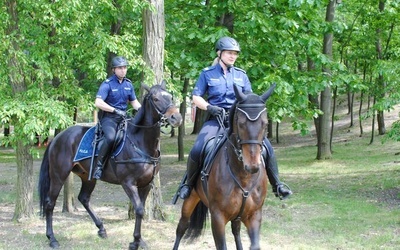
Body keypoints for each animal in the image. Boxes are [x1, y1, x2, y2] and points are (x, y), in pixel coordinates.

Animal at [38, 81, 182, 249]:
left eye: (171, 97)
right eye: (156, 99)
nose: (176, 118)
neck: (139, 142)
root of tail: (57, 137)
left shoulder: (146, 184)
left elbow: (140, 211)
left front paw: (139, 241)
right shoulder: (128, 183)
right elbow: (139, 210)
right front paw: (135, 242)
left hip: (87, 177)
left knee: (84, 198)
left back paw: (101, 228)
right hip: (58, 176)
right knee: (50, 203)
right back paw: (52, 238)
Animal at [172, 84, 276, 250]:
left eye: (265, 124)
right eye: (240, 123)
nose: (252, 166)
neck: (243, 177)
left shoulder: (254, 215)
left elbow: (254, 245)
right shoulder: (218, 217)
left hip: (237, 216)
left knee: (236, 230)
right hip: (191, 198)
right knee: (181, 227)